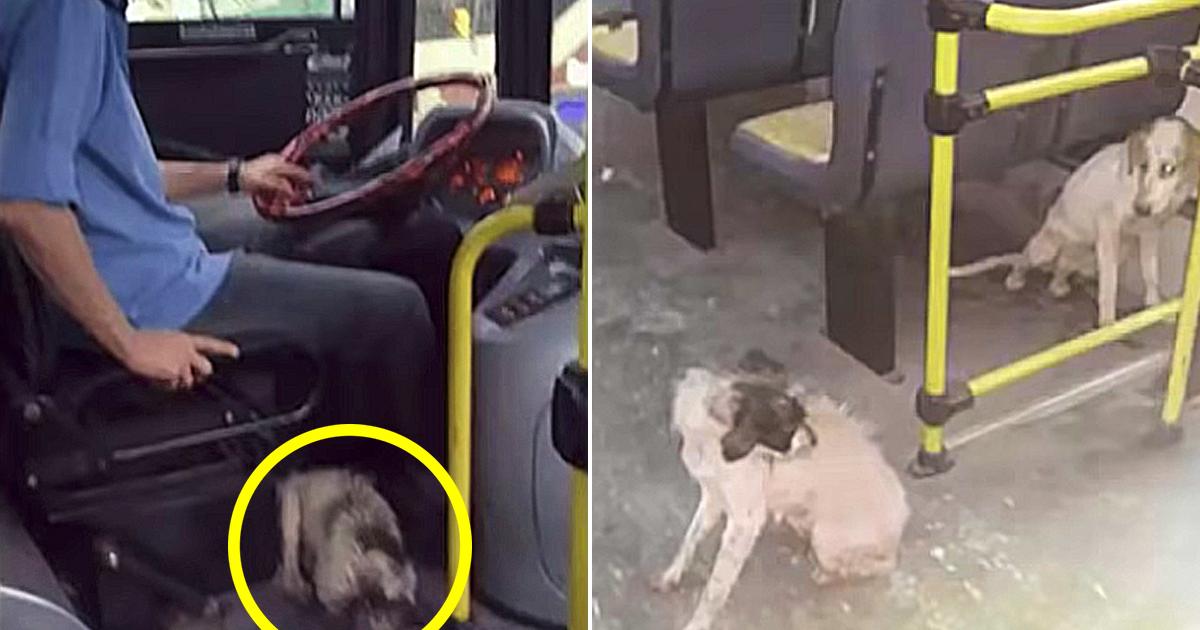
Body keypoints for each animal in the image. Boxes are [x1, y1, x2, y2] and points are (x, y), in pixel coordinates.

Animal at [657, 350, 907, 628]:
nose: (815, 441)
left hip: (826, 540)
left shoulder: (745, 522)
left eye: (802, 414)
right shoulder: (713, 497)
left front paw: (698, 622)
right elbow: (690, 538)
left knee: (884, 564)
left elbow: (715, 589)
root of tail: (902, 514)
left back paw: (826, 573)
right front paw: (673, 573)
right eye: (789, 425)